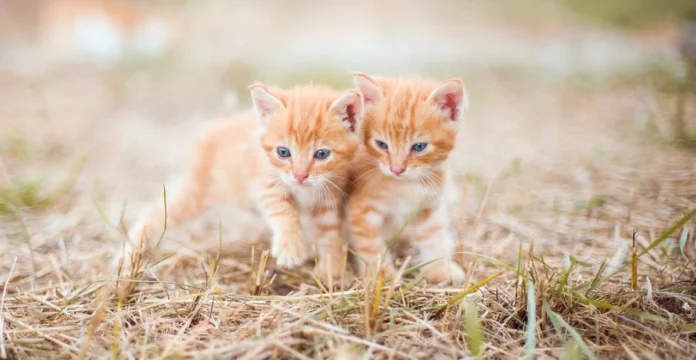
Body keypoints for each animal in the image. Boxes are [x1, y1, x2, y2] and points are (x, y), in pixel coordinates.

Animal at [125, 83, 364, 280]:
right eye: (283, 152)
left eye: (322, 154)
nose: (300, 176)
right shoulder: (264, 183)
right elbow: (283, 211)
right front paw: (291, 248)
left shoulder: (328, 196)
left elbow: (331, 233)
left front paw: (332, 269)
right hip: (196, 191)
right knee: (154, 213)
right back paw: (128, 257)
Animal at [346, 72, 468, 284]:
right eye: (381, 144)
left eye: (419, 147)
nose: (397, 169)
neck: (404, 186)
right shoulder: (361, 210)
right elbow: (371, 246)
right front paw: (382, 276)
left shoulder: (429, 206)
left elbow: (434, 238)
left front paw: (440, 269)